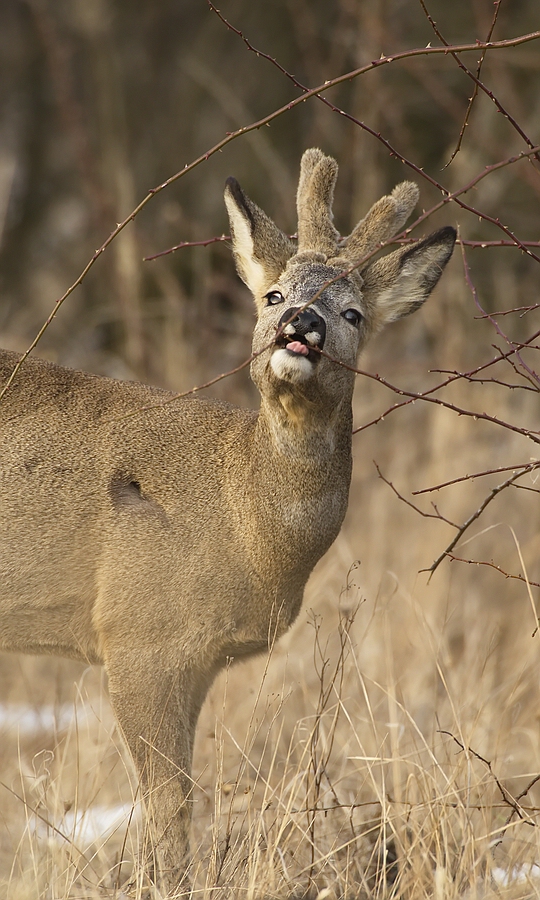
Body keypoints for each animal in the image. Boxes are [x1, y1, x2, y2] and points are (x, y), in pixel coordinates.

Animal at [0, 151, 456, 888]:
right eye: (273, 295)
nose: (302, 323)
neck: (246, 521)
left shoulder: (197, 659)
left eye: (353, 312)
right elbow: (166, 799)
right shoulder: (138, 633)